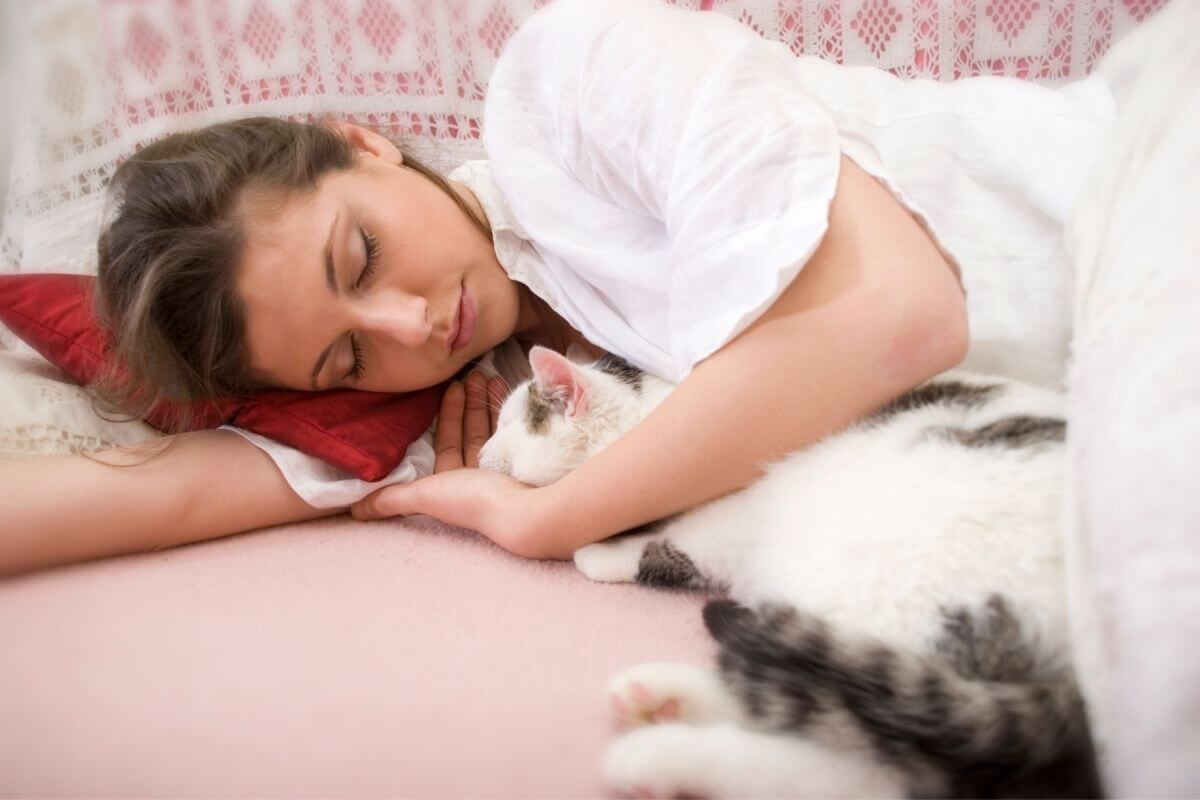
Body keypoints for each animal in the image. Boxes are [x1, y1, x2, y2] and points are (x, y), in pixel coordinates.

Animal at [475, 345, 1099, 800]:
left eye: (507, 428)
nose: (480, 455)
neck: (655, 421)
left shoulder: (728, 512)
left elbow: (676, 543)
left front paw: (601, 554)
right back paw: (662, 697)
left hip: (887, 578)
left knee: (864, 769)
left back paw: (658, 757)